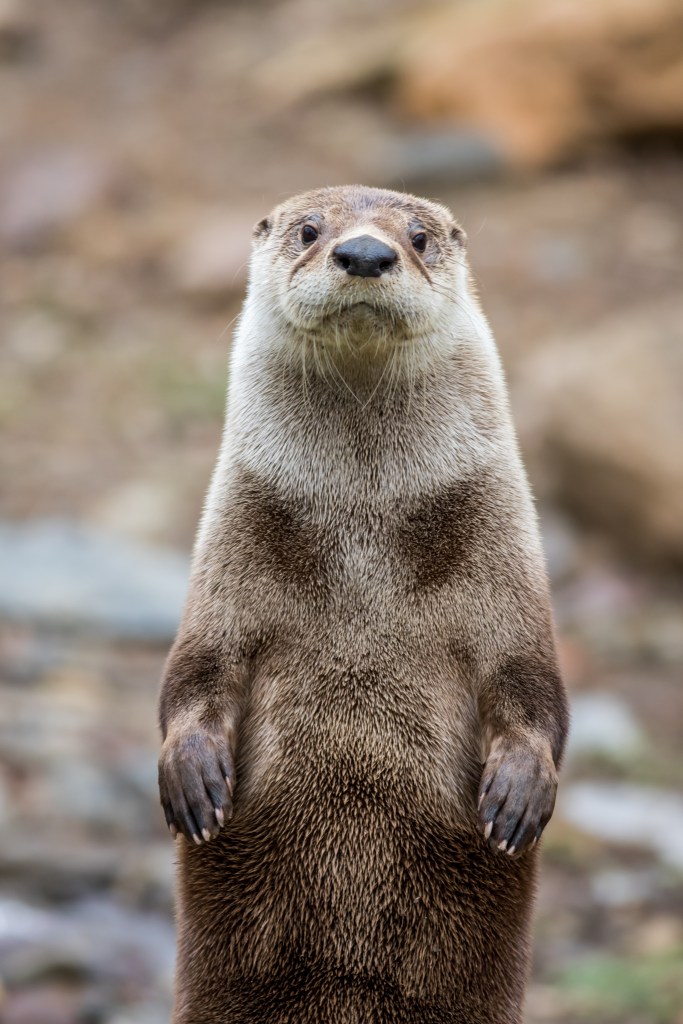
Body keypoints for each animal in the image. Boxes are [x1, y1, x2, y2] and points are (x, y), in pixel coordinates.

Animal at [157, 186, 569, 1024]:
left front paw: (519, 787)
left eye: (417, 237)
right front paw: (191, 770)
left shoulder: (509, 576)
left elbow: (532, 686)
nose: (365, 254)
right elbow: (195, 670)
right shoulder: (224, 568)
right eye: (309, 230)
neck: (364, 535)